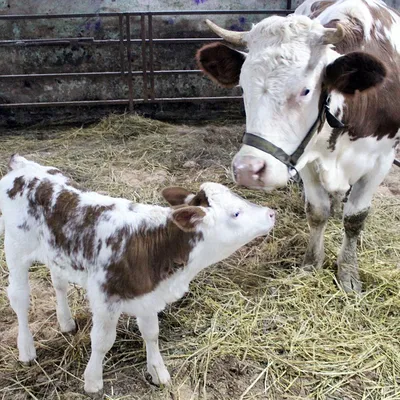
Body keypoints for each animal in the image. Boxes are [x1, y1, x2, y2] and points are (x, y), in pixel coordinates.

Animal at [0, 154, 276, 394]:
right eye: (236, 213)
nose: (271, 213)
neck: (155, 245)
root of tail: (23, 165)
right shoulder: (105, 297)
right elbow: (102, 340)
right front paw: (92, 381)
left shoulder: (148, 295)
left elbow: (151, 333)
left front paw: (158, 372)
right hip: (15, 248)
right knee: (20, 299)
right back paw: (26, 349)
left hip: (55, 253)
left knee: (59, 283)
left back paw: (66, 322)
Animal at [198, 0, 400, 294]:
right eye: (243, 87)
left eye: (305, 90)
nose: (248, 169)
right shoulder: (303, 158)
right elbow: (317, 212)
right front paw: (311, 264)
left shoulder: (381, 160)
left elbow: (355, 218)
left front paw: (348, 272)